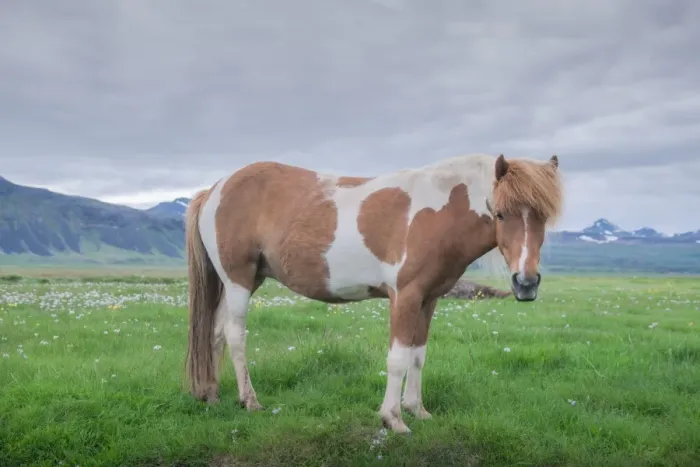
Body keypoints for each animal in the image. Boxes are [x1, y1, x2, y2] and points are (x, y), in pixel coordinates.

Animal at [184, 152, 563, 433]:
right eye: (500, 213)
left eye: (544, 217)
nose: (526, 283)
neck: (437, 212)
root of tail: (214, 190)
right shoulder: (405, 296)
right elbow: (397, 359)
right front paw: (393, 418)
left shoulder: (428, 300)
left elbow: (418, 356)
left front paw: (417, 410)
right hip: (238, 280)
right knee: (235, 335)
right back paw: (250, 401)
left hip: (244, 282)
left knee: (215, 333)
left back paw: (212, 395)